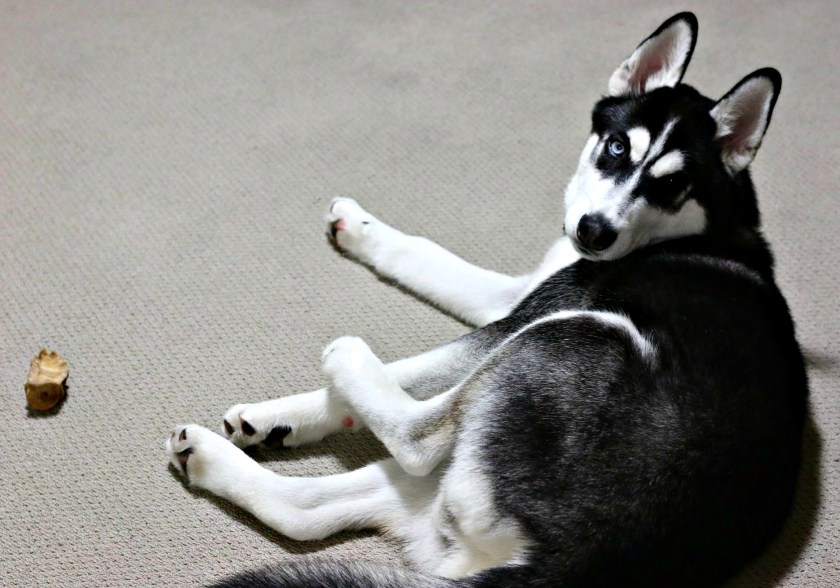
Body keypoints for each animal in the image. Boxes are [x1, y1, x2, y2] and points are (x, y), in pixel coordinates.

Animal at [166, 12, 807, 587]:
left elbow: (419, 367)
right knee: (307, 513)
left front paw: (288, 411)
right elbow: (426, 258)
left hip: (578, 334)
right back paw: (208, 457)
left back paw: (348, 359)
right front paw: (361, 232)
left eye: (671, 184)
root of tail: (571, 565)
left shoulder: (534, 310)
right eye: (616, 146)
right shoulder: (520, 294)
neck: (695, 230)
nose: (593, 231)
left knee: (417, 438)